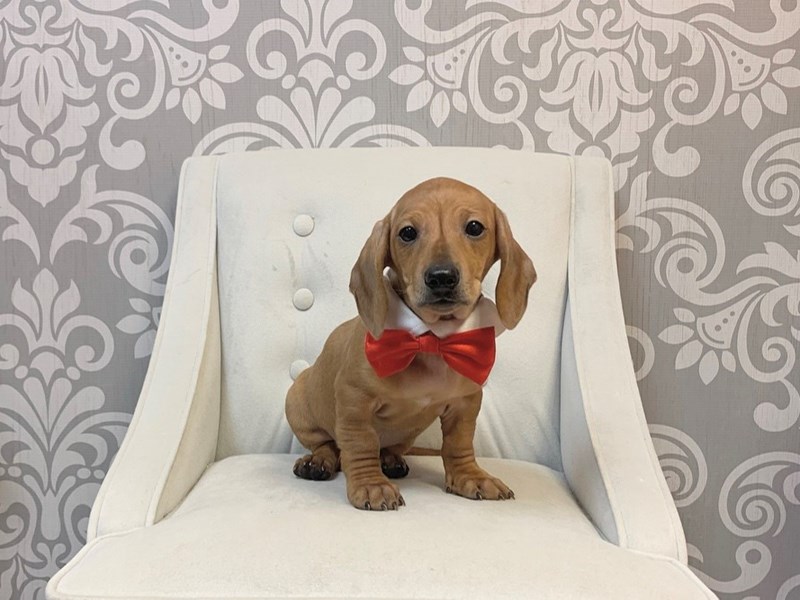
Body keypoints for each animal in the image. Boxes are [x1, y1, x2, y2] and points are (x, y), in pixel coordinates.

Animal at [285, 177, 537, 510]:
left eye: (474, 227)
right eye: (407, 233)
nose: (441, 277)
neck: (432, 337)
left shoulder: (465, 403)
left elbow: (458, 444)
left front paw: (470, 476)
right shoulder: (355, 400)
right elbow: (360, 444)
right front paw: (371, 484)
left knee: (387, 448)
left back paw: (391, 459)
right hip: (298, 401)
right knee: (329, 445)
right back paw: (318, 462)